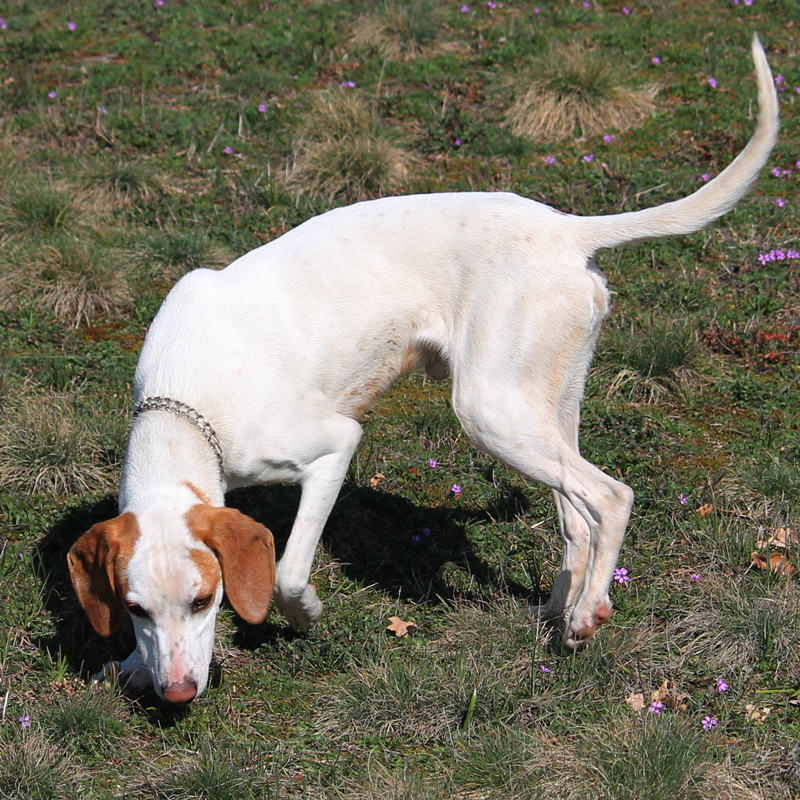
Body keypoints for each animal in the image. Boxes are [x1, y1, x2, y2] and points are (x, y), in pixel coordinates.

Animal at [65, 37, 780, 704]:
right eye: (135, 609)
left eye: (204, 600)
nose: (177, 692)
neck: (184, 402)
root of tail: (567, 230)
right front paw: (129, 664)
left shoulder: (334, 447)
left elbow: (291, 570)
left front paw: (304, 615)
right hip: (543, 409)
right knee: (579, 517)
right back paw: (558, 614)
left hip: (491, 412)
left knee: (611, 497)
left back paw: (586, 615)